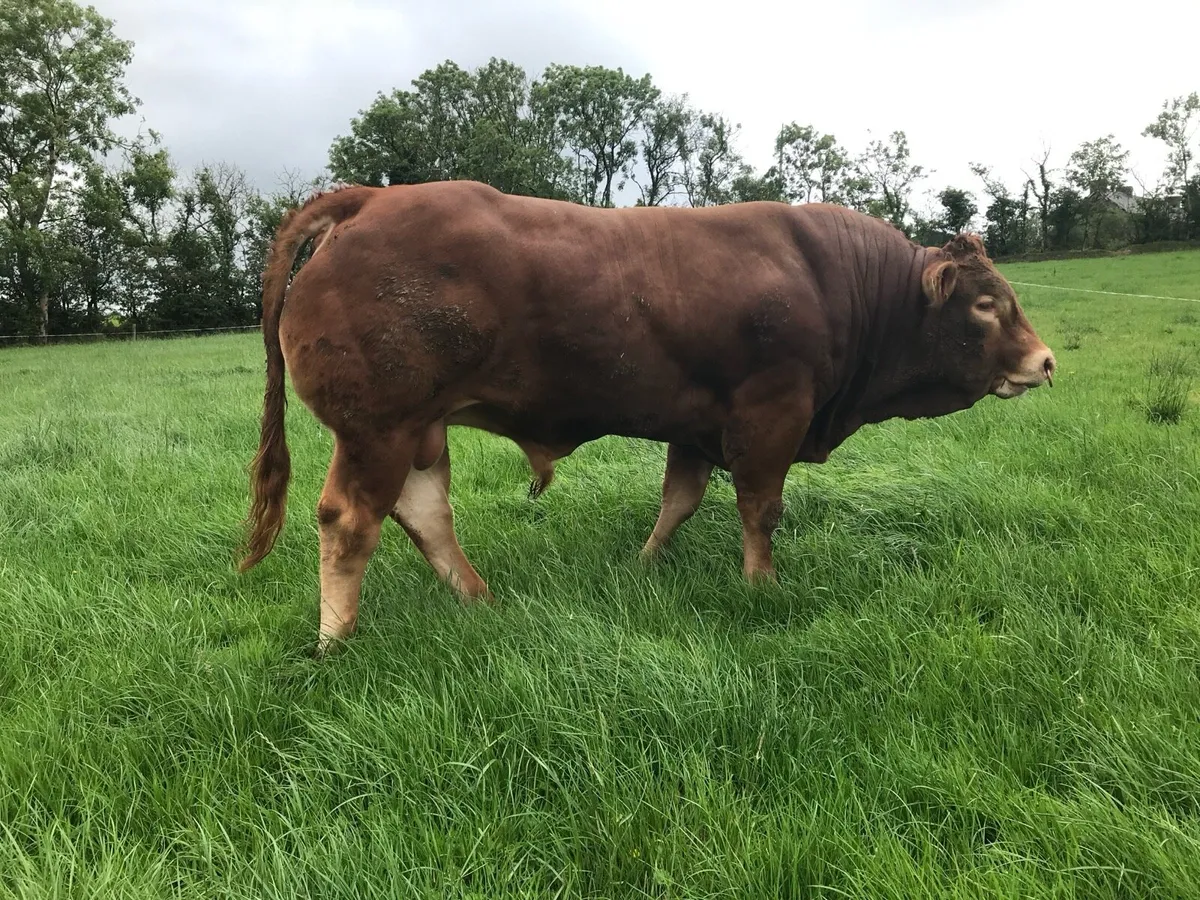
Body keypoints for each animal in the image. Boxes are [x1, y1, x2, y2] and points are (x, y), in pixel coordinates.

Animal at [236, 180, 1055, 654]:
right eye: (987, 305)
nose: (1045, 361)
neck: (842, 283)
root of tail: (370, 198)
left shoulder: (697, 426)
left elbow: (680, 501)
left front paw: (644, 564)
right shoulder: (771, 413)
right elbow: (760, 508)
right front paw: (761, 586)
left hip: (418, 429)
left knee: (424, 512)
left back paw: (478, 599)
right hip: (379, 426)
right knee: (350, 521)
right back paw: (336, 641)